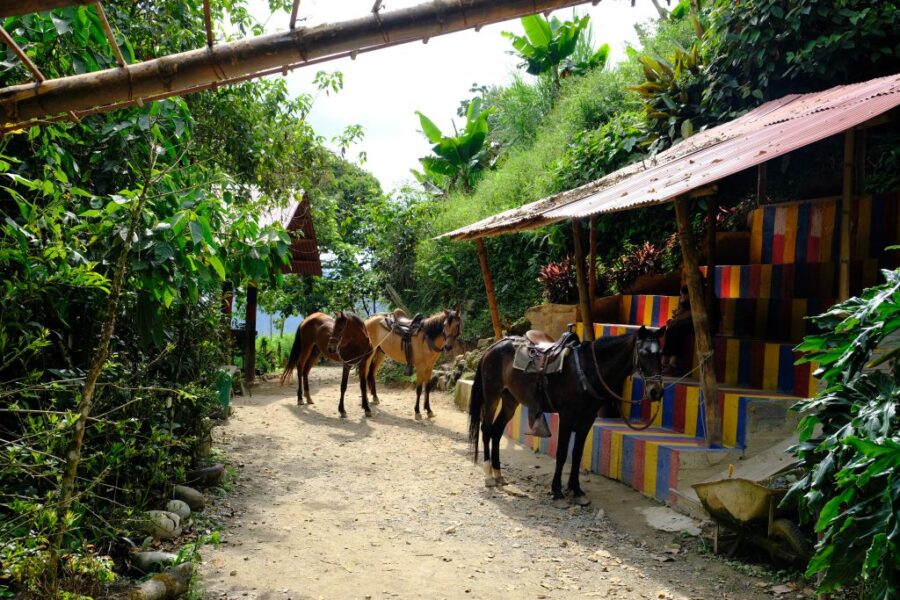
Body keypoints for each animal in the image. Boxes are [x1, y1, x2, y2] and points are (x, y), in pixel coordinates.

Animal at [468, 328, 664, 506]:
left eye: (661, 354)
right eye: (643, 353)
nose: (656, 392)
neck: (587, 369)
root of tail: (493, 347)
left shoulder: (587, 419)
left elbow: (577, 454)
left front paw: (576, 491)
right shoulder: (567, 416)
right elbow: (562, 453)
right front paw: (557, 492)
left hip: (510, 400)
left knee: (496, 431)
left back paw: (498, 475)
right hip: (492, 394)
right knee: (486, 429)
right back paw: (488, 476)